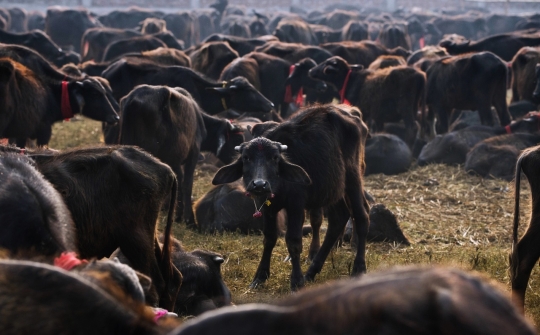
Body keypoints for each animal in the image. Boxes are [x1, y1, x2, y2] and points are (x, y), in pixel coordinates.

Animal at [213, 105, 370, 292]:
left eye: (274, 158)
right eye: (246, 158)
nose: (259, 185)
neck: (279, 186)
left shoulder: (296, 205)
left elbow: (294, 241)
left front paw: (296, 280)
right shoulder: (267, 208)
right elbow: (269, 238)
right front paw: (260, 276)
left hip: (353, 179)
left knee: (361, 216)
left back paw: (358, 267)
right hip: (333, 188)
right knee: (338, 219)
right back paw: (312, 271)